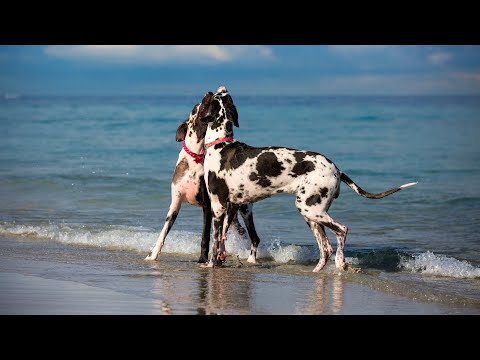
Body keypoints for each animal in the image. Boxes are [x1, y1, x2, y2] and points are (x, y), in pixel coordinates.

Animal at [144, 102, 260, 262]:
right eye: (194, 108)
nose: (199, 103)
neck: (196, 157)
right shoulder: (175, 204)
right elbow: (163, 232)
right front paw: (153, 254)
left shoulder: (207, 206)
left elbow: (205, 236)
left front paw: (203, 259)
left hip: (243, 209)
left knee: (249, 235)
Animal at [198, 87, 416, 272]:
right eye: (223, 97)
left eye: (215, 97)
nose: (219, 88)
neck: (220, 145)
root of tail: (337, 169)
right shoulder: (234, 206)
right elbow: (222, 242)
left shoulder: (219, 207)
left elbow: (215, 241)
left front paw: (210, 264)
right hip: (311, 214)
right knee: (325, 247)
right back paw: (318, 271)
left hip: (310, 210)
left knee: (341, 231)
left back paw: (341, 263)